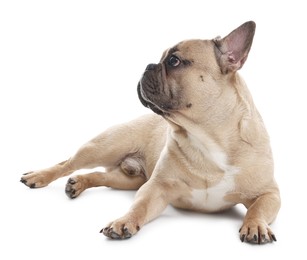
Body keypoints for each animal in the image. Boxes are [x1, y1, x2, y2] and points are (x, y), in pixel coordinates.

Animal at [21, 20, 282, 244]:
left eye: (174, 61)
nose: (148, 65)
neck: (207, 137)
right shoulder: (156, 188)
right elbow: (139, 207)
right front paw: (123, 222)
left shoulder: (269, 193)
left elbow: (257, 208)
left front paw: (255, 225)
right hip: (103, 147)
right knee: (67, 163)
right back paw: (39, 176)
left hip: (130, 179)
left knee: (103, 176)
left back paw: (77, 183)